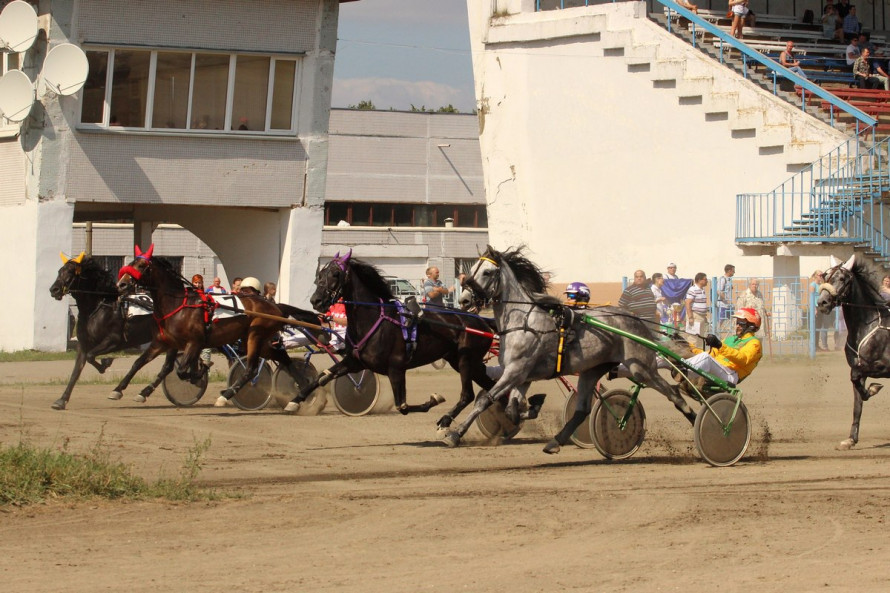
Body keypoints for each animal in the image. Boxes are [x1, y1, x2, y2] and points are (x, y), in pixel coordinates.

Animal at [48, 252, 154, 410]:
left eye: (71, 272)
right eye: (60, 271)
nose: (53, 290)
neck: (97, 307)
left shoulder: (113, 340)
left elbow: (91, 356)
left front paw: (106, 363)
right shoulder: (83, 344)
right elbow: (76, 370)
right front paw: (62, 400)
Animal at [115, 243, 298, 404]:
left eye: (141, 265)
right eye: (130, 264)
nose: (121, 284)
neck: (177, 305)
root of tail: (275, 306)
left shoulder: (195, 342)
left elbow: (181, 370)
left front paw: (199, 373)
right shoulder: (164, 342)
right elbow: (143, 363)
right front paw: (120, 390)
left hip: (256, 336)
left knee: (251, 370)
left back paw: (227, 395)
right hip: (258, 340)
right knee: (283, 358)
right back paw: (299, 394)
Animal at [450, 245, 700, 448]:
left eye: (487, 272)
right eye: (472, 270)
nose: (464, 300)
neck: (523, 322)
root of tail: (636, 321)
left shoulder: (515, 371)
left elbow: (485, 400)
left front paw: (455, 433)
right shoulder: (522, 376)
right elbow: (512, 409)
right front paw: (531, 407)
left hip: (641, 368)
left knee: (673, 393)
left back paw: (697, 419)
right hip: (594, 370)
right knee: (583, 410)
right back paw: (555, 441)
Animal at [816, 253, 884, 448]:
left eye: (842, 278)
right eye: (825, 276)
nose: (822, 302)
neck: (866, 327)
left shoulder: (879, 366)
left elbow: (857, 380)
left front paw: (873, 389)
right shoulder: (858, 369)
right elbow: (857, 404)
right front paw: (851, 439)